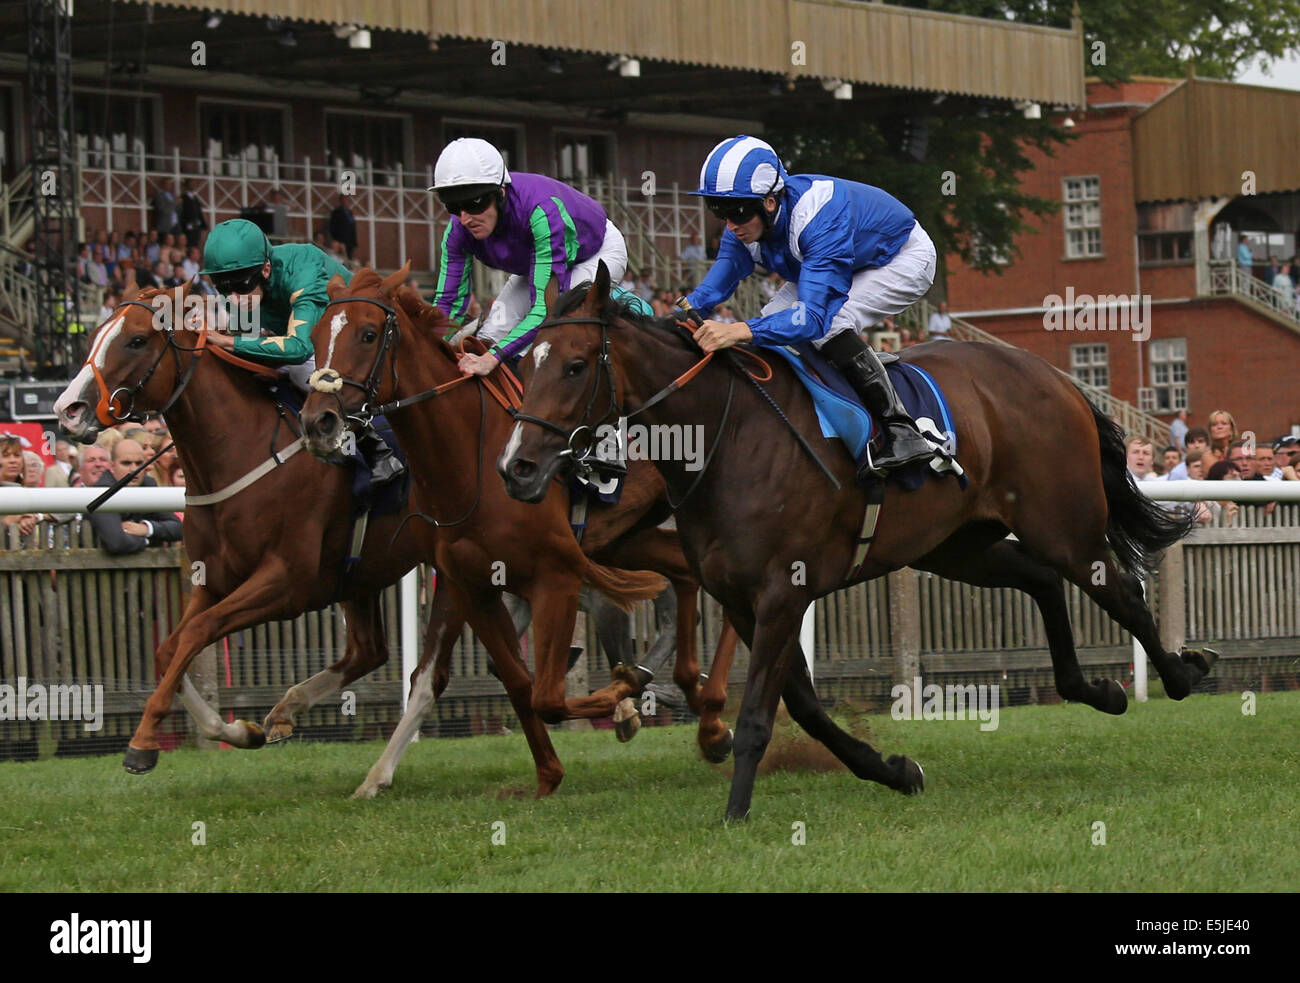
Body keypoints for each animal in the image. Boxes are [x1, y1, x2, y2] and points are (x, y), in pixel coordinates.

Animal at [297, 266, 743, 774]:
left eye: (369, 334)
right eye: (315, 334)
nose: (317, 422)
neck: (470, 446)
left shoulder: (557, 570)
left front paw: (625, 702)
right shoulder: (492, 578)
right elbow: (511, 673)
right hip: (631, 537)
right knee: (683, 580)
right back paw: (695, 704)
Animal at [496, 265, 1216, 826]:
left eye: (575, 365)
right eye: (522, 363)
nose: (517, 468)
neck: (729, 440)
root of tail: (1058, 377)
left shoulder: (783, 591)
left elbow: (760, 714)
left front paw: (735, 811)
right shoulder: (742, 600)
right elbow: (806, 708)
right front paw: (895, 769)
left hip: (1062, 522)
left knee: (1120, 589)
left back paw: (1182, 672)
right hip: (956, 544)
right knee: (1040, 579)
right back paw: (1099, 689)